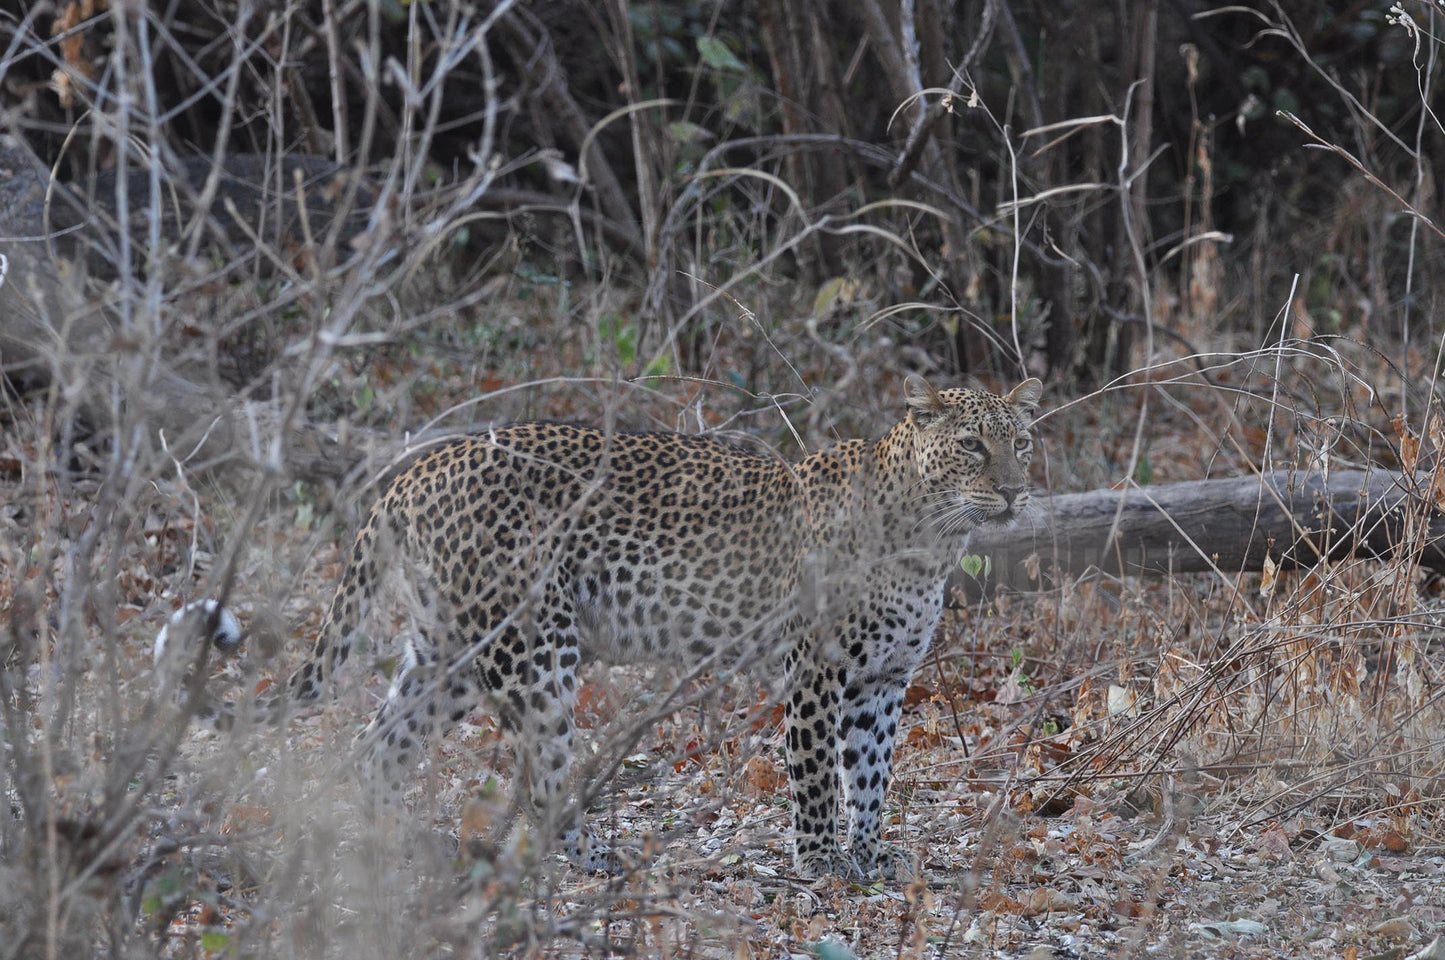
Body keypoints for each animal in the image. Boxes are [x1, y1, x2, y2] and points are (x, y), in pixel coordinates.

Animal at [231, 375, 1040, 879]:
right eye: (973, 445)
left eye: (1021, 443)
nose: (1013, 491)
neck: (931, 543)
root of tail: (412, 471)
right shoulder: (817, 668)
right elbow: (817, 774)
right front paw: (820, 862)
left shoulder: (882, 678)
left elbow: (870, 772)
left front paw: (870, 855)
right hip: (531, 649)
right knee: (541, 780)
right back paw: (596, 859)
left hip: (449, 656)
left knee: (375, 751)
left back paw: (392, 854)